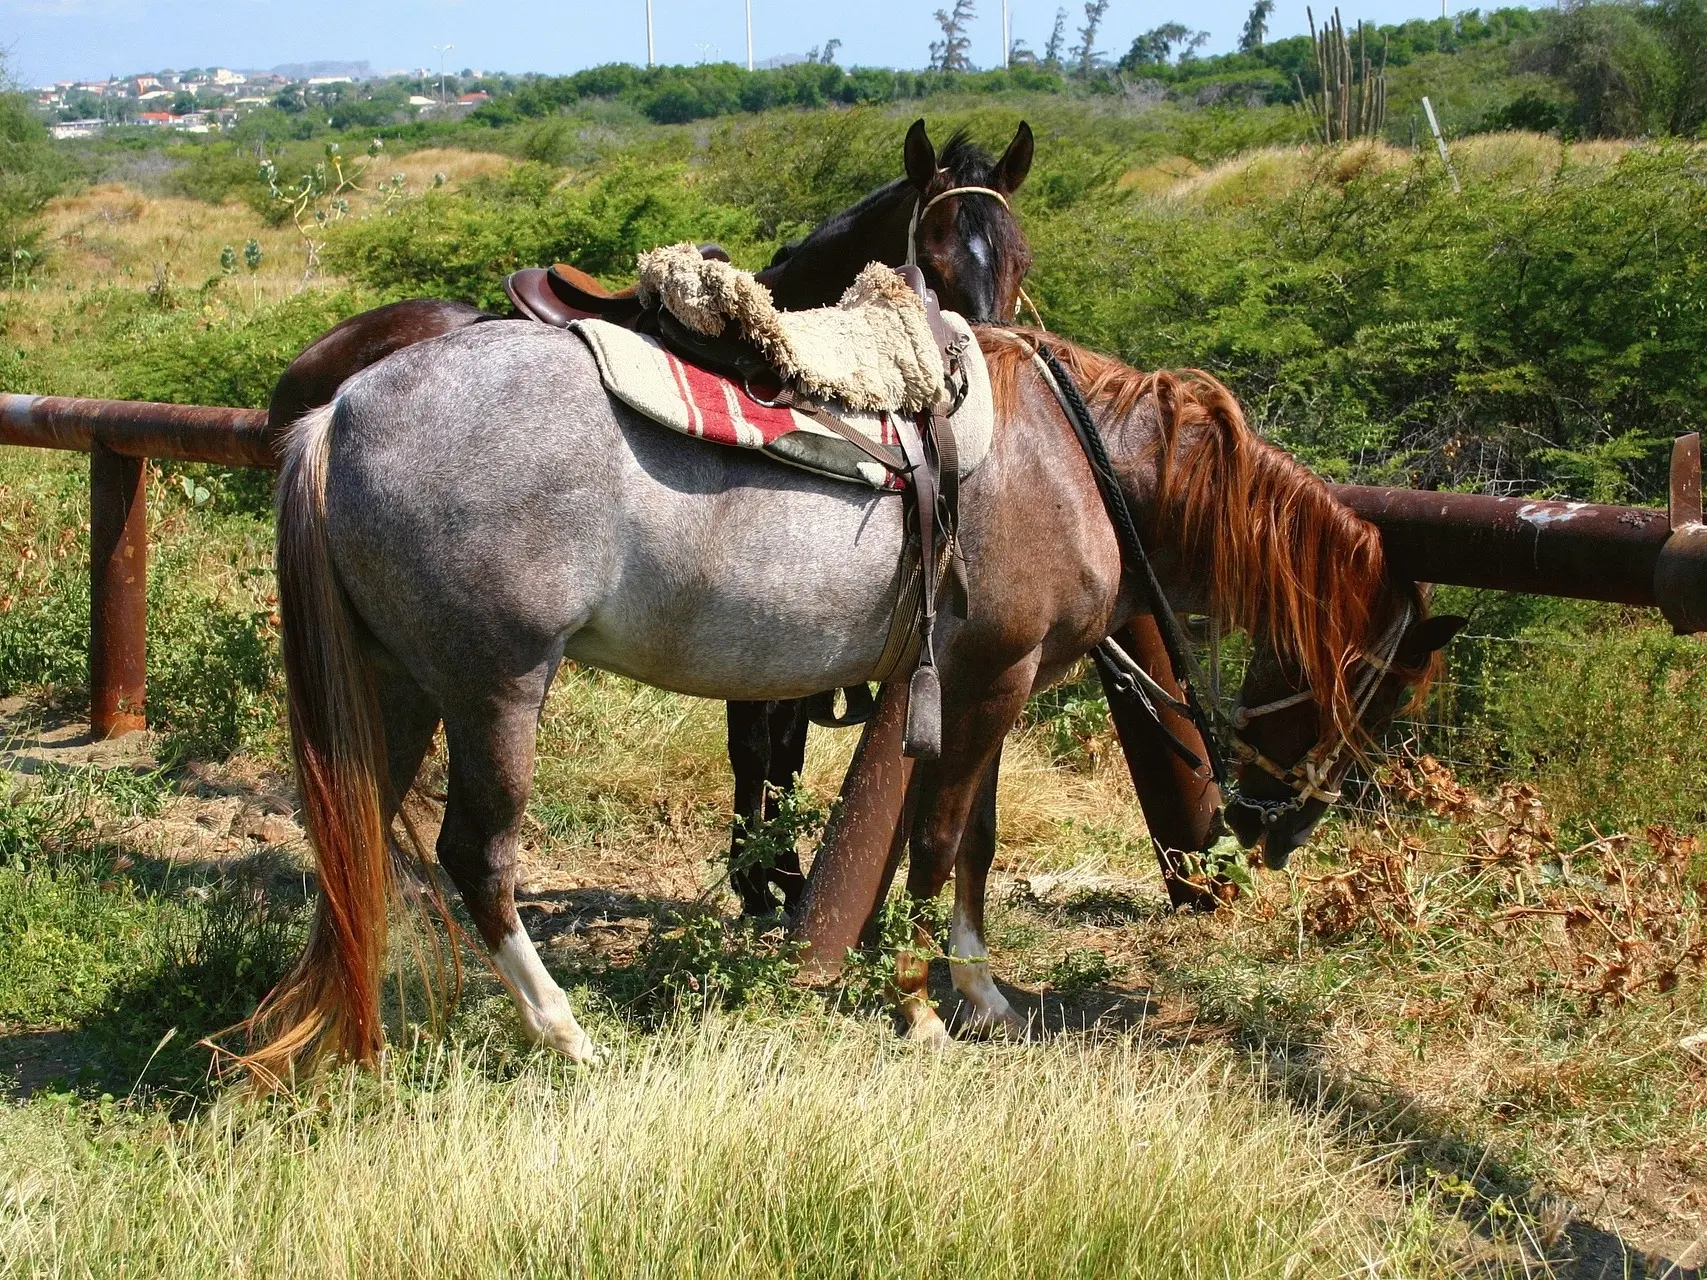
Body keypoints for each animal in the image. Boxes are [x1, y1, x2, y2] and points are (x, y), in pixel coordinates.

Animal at [249, 325, 1454, 1078]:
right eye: (1382, 699)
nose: (1280, 835)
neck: (1079, 460)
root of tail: (339, 415)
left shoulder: (988, 681)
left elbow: (976, 840)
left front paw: (982, 993)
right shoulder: (988, 679)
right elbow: (934, 838)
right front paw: (920, 1005)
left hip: (399, 687)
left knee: (351, 830)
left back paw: (327, 1026)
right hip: (496, 687)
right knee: (476, 855)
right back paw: (563, 1031)